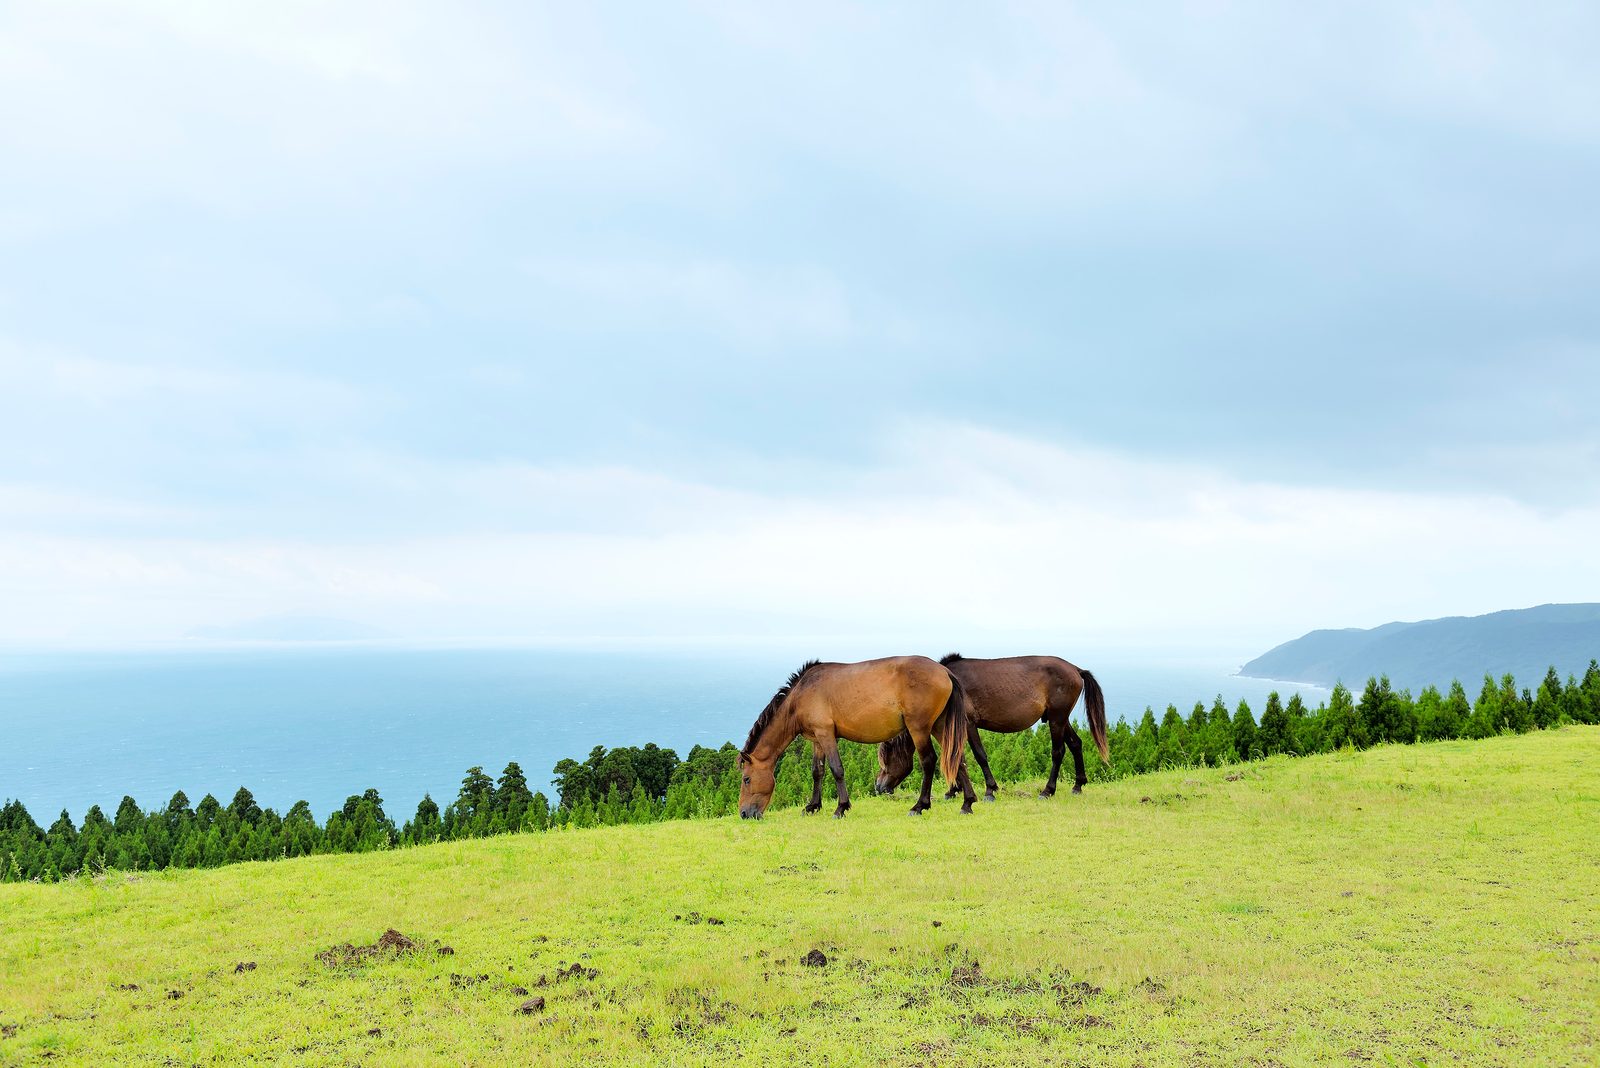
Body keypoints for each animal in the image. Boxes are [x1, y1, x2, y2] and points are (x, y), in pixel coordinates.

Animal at [738, 655, 978, 819]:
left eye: (746, 779)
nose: (744, 813)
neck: (801, 694)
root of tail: (944, 672)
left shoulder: (826, 734)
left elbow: (836, 769)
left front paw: (841, 807)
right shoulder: (817, 739)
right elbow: (817, 772)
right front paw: (813, 806)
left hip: (919, 728)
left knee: (929, 761)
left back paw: (919, 806)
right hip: (939, 725)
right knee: (958, 759)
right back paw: (967, 803)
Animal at [875, 653, 1108, 801]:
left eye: (886, 757)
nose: (879, 786)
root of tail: (1076, 669)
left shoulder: (968, 725)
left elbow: (977, 755)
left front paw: (989, 790)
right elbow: (955, 756)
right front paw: (954, 791)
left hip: (1057, 720)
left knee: (1058, 752)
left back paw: (1047, 791)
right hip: (1058, 718)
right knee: (1076, 744)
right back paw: (1078, 785)